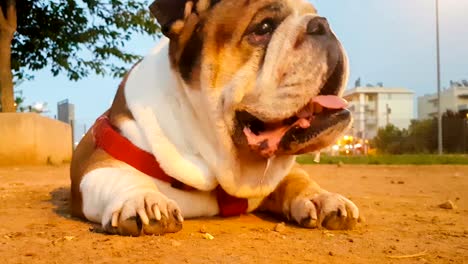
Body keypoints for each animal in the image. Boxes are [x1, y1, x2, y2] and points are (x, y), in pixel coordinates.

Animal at [71, 0, 360, 236]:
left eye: (313, 13)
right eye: (264, 27)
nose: (322, 24)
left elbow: (299, 179)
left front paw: (322, 198)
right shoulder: (99, 165)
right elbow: (122, 177)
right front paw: (144, 199)